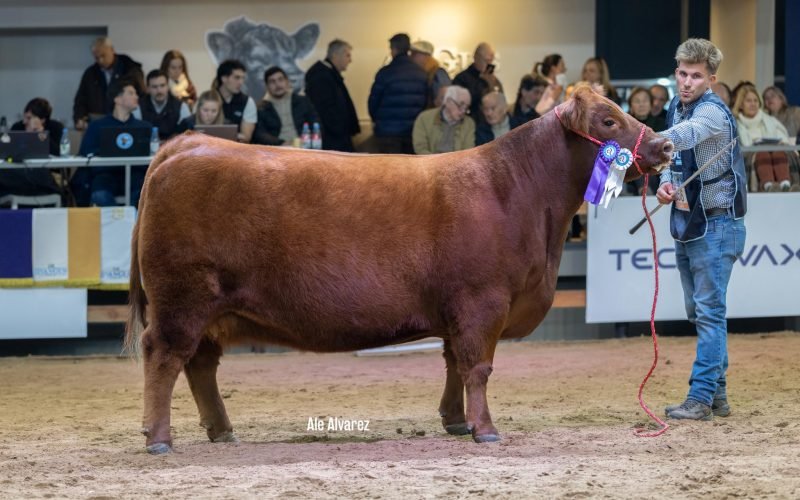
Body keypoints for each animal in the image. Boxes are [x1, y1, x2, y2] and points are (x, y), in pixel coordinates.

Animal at [126, 86, 674, 454]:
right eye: (607, 120)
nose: (666, 145)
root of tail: (187, 144)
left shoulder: (457, 309)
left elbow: (453, 363)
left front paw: (455, 421)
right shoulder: (483, 301)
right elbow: (478, 366)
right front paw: (486, 430)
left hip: (208, 308)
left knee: (200, 365)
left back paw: (222, 430)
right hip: (182, 298)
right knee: (163, 357)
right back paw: (159, 438)